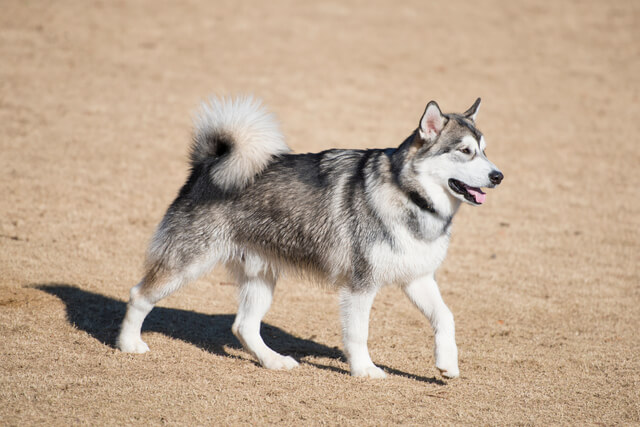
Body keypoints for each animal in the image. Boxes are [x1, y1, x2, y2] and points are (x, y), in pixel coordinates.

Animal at [117, 95, 502, 380]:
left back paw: (274, 361)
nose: (498, 175)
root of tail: (209, 163)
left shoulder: (418, 277)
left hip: (261, 276)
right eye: (464, 151)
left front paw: (447, 364)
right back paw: (128, 344)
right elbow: (358, 333)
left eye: (484, 150)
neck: (408, 195)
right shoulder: (360, 286)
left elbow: (445, 317)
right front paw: (365, 370)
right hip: (187, 264)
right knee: (139, 295)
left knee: (244, 327)